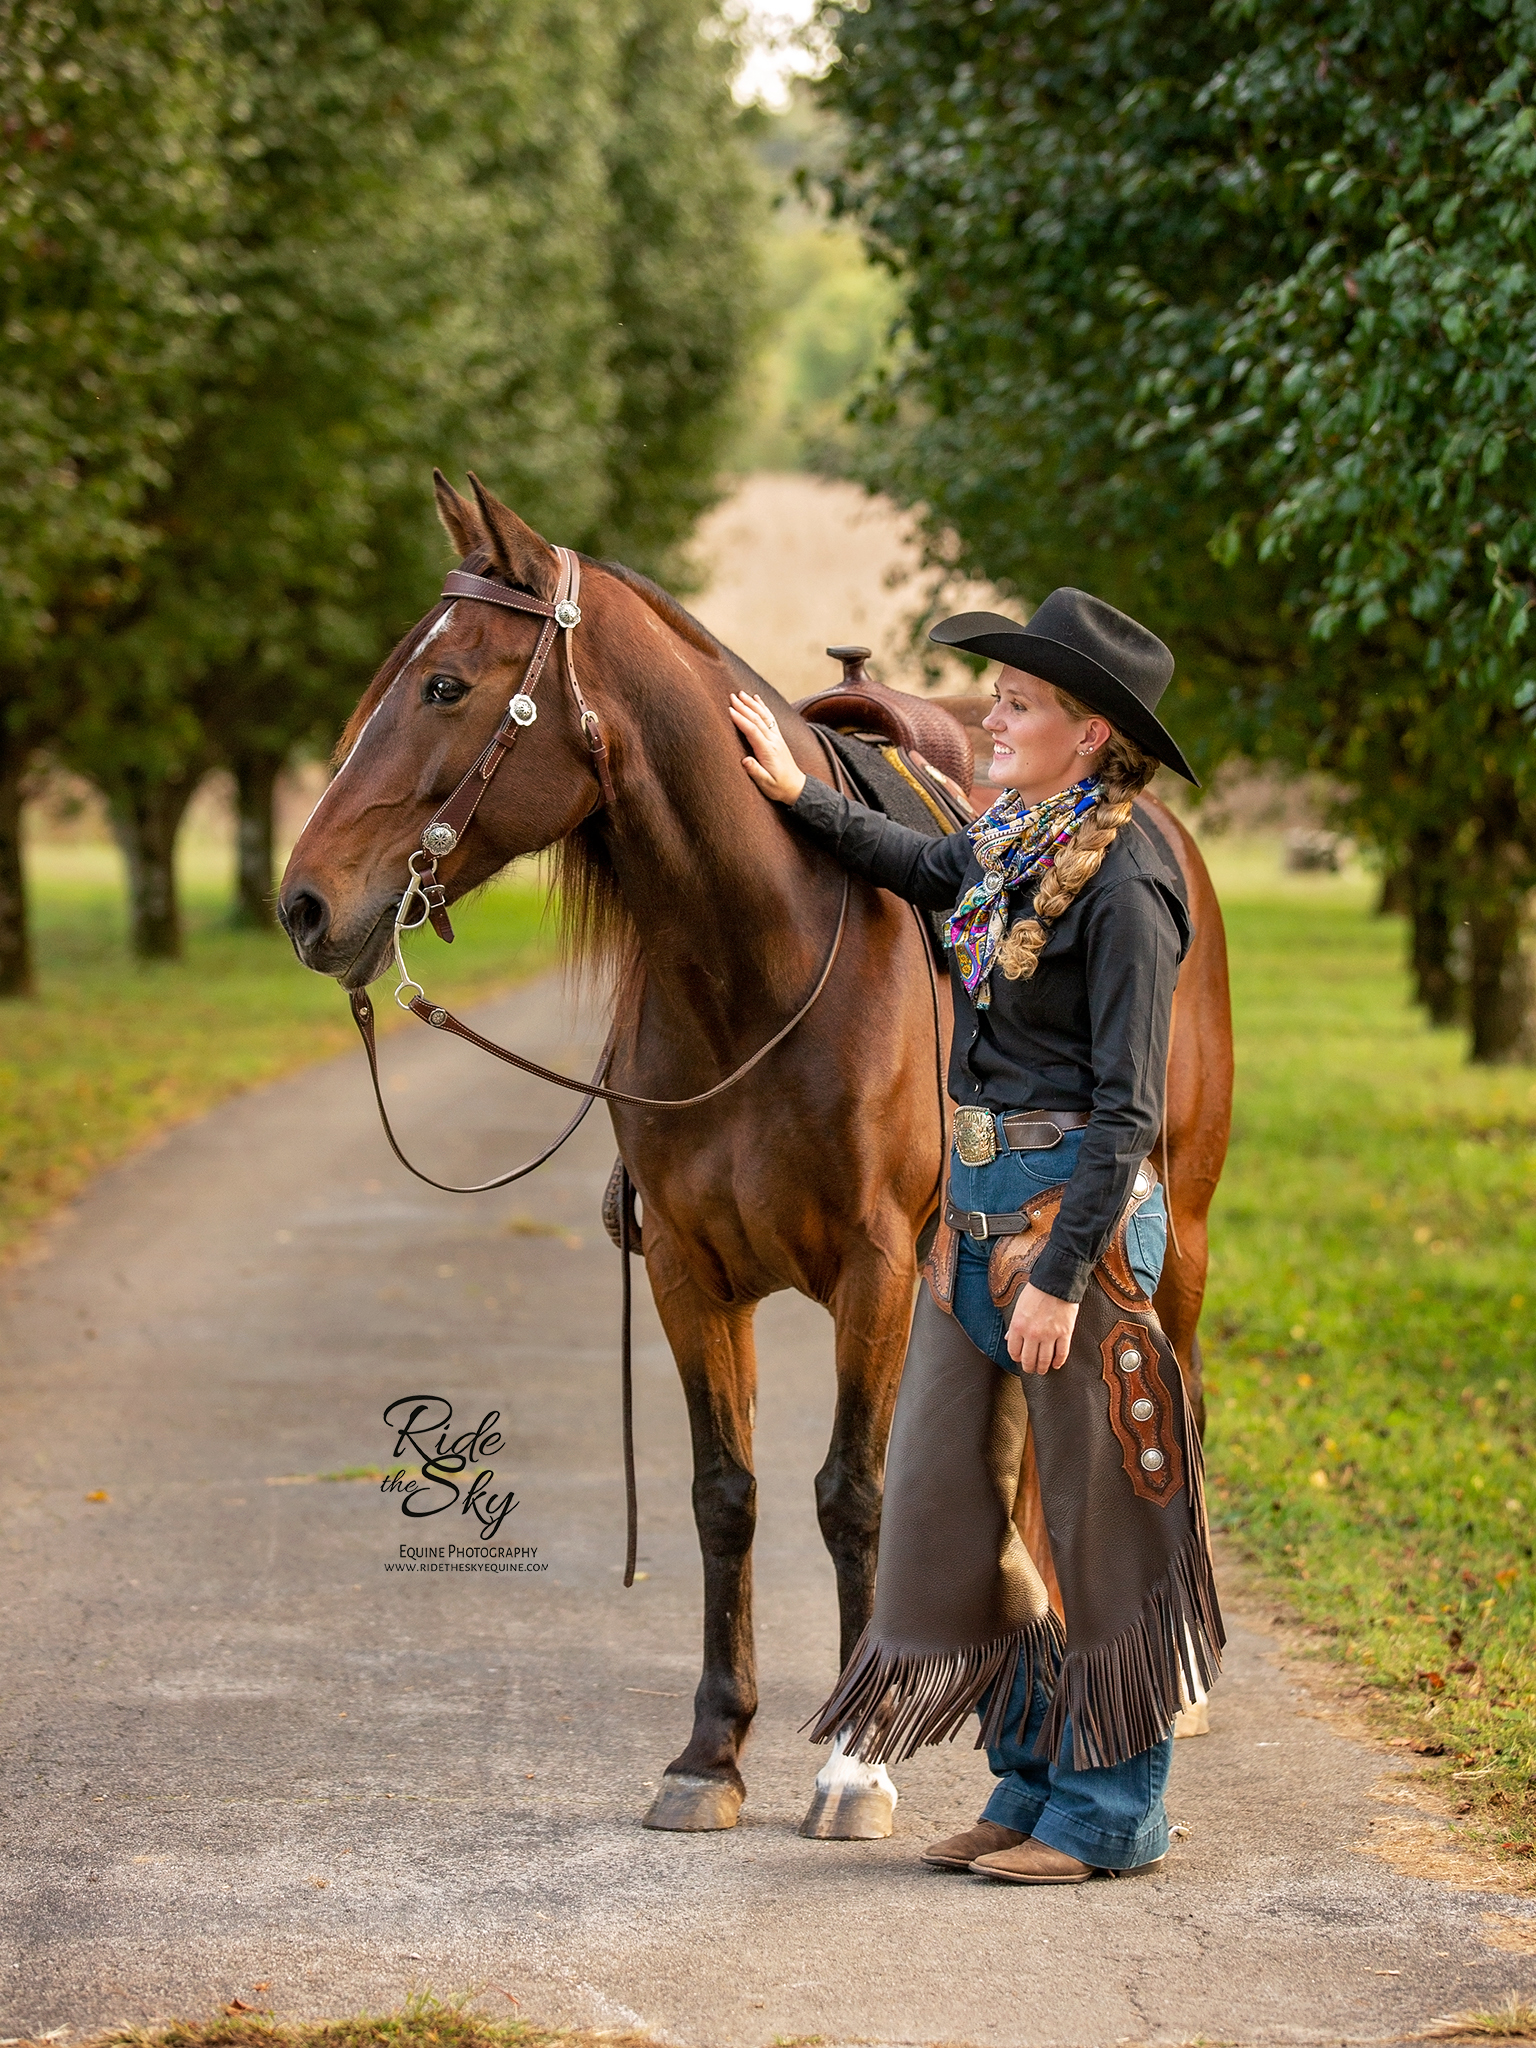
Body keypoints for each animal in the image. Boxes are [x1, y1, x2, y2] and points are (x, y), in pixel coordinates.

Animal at [280, 475, 1236, 1843]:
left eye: (447, 685)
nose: (304, 904)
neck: (758, 957)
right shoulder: (689, 1269)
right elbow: (724, 1494)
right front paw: (709, 1751)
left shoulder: (879, 1270)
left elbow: (853, 1493)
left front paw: (855, 1759)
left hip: (1167, 1233)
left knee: (1173, 1398)